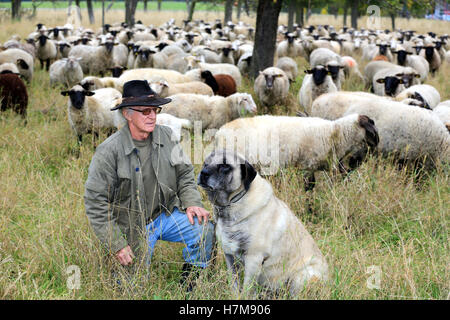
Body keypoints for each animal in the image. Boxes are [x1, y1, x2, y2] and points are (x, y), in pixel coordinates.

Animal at [199, 151, 328, 296]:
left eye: (225, 166)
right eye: (205, 163)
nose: (203, 173)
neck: (231, 205)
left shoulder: (253, 260)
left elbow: (246, 291)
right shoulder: (230, 257)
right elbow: (234, 284)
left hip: (303, 276)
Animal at [214, 114, 380, 188]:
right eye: (370, 128)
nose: (377, 142)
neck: (335, 134)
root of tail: (220, 133)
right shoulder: (307, 166)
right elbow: (309, 187)